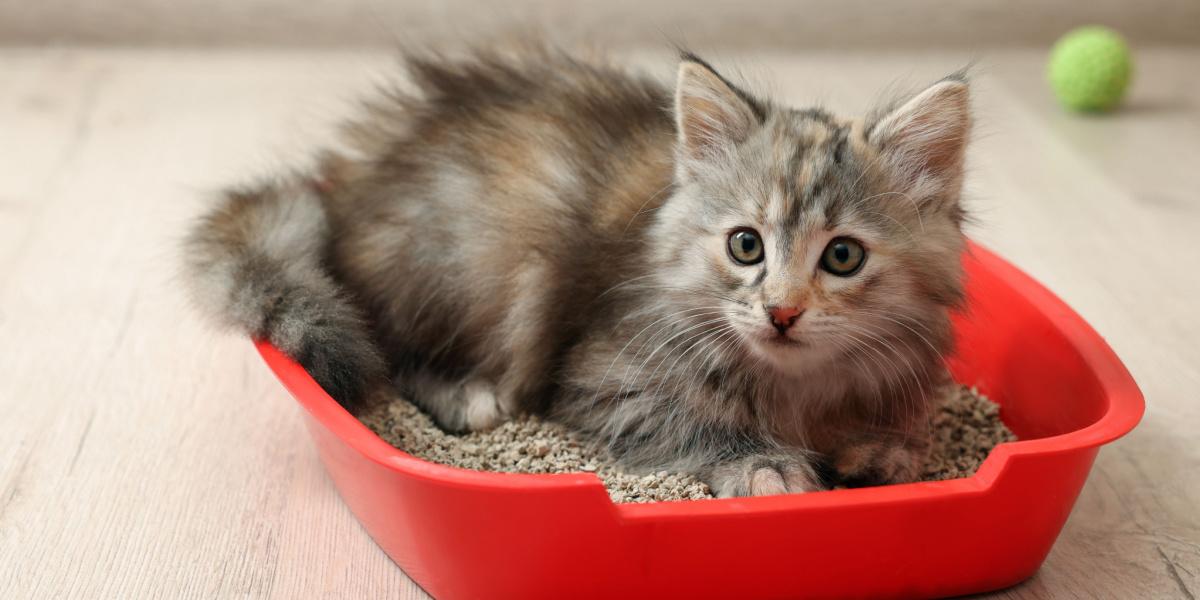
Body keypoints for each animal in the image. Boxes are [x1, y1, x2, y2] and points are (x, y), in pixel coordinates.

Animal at [189, 45, 974, 496]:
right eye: (746, 246)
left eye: (843, 256)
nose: (781, 312)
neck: (795, 385)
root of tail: (346, 190)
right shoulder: (606, 378)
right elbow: (694, 423)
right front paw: (765, 463)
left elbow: (902, 434)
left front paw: (881, 450)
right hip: (473, 257)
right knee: (392, 348)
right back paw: (466, 394)